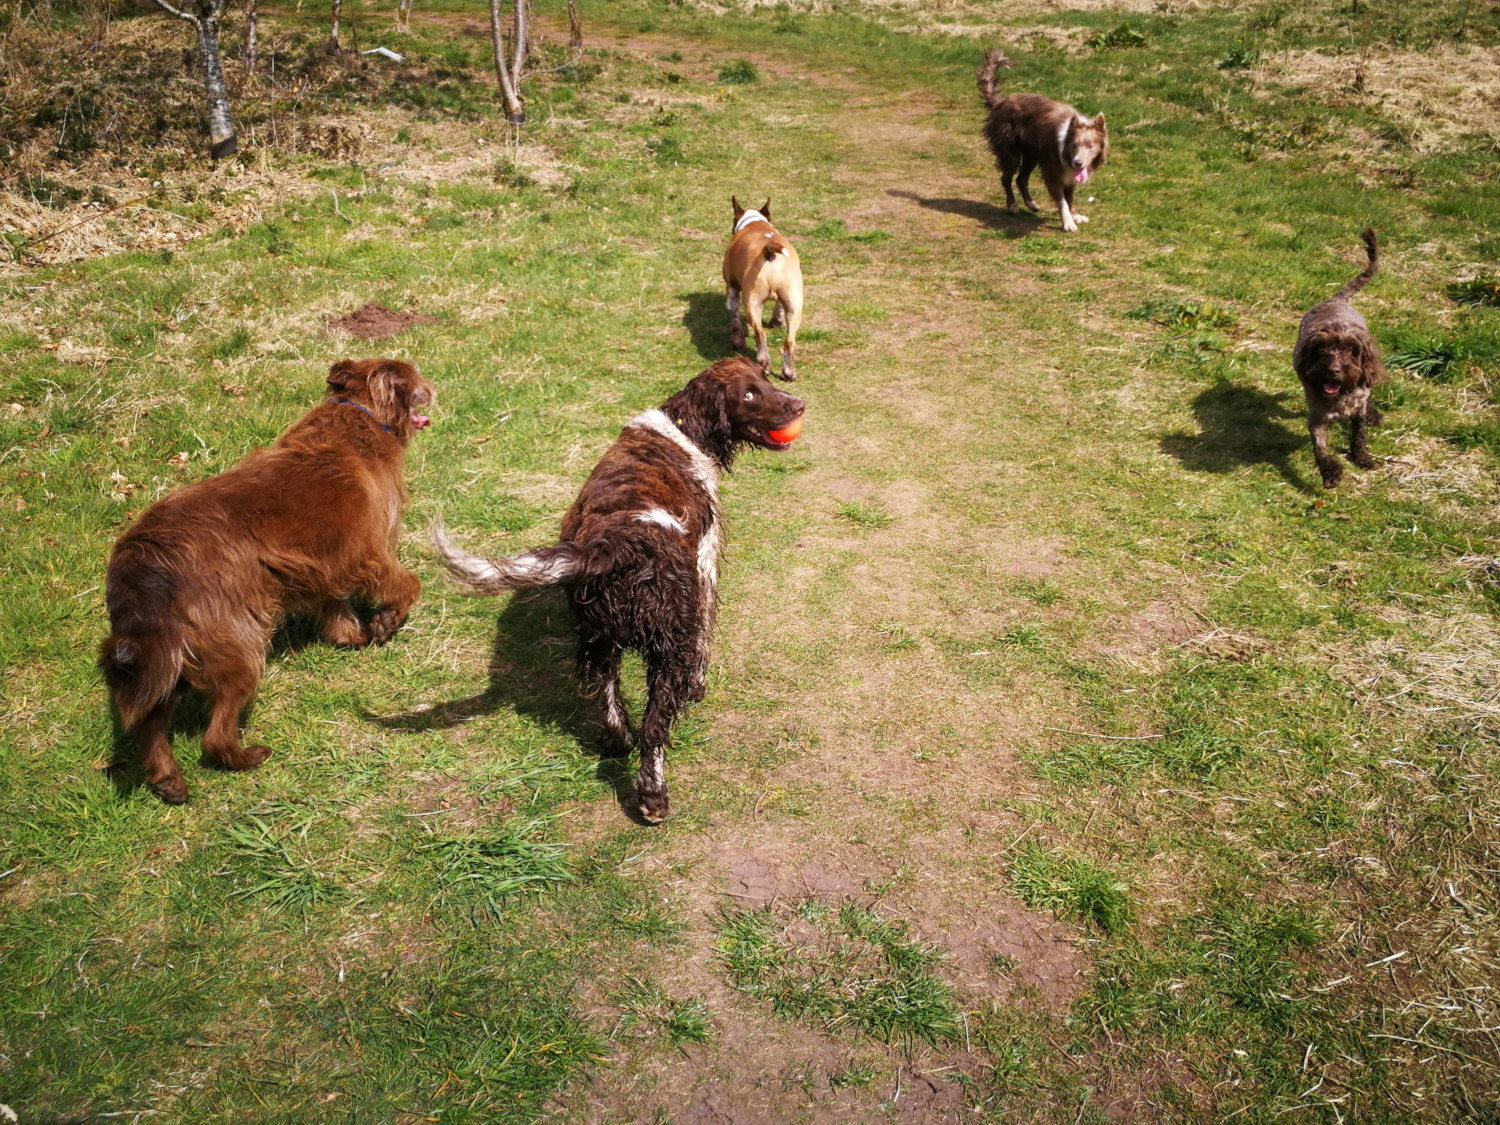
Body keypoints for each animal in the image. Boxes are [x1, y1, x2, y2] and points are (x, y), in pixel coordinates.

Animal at [99, 359, 435, 803]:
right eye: (414, 378)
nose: (434, 387)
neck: (360, 413)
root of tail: (143, 557)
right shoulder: (371, 550)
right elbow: (406, 585)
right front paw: (385, 623)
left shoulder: (327, 563)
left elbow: (336, 604)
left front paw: (352, 635)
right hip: (236, 637)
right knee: (214, 735)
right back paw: (248, 758)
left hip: (167, 651)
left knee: (150, 720)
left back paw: (168, 780)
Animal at [432, 356, 805, 824]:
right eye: (750, 394)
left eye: (765, 380)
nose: (799, 405)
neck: (680, 428)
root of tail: (617, 544)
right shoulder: (705, 561)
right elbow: (704, 639)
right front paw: (698, 687)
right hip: (667, 642)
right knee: (654, 728)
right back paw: (653, 797)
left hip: (598, 636)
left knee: (607, 696)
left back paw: (616, 741)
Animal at [723, 196, 804, 381]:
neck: (755, 223)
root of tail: (770, 251)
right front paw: (776, 321)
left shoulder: (731, 287)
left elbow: (734, 317)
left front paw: (736, 341)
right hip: (794, 306)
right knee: (790, 341)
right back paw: (789, 371)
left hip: (752, 306)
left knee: (760, 334)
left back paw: (764, 363)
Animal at [977, 49, 1108, 233]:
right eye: (1074, 145)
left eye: (1090, 146)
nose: (1078, 163)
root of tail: (1000, 102)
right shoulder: (1051, 171)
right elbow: (1062, 200)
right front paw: (1068, 222)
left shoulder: (1069, 175)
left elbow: (1069, 197)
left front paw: (1075, 215)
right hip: (1011, 153)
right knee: (1007, 178)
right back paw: (1013, 205)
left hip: (1032, 156)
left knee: (1021, 179)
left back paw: (1031, 203)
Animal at [1293, 229, 1384, 489]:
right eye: (1322, 350)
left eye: (1351, 352)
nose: (1333, 370)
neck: (1340, 395)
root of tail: (1336, 299)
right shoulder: (1317, 417)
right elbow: (1320, 448)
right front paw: (1330, 472)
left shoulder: (1358, 409)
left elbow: (1359, 435)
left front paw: (1362, 458)